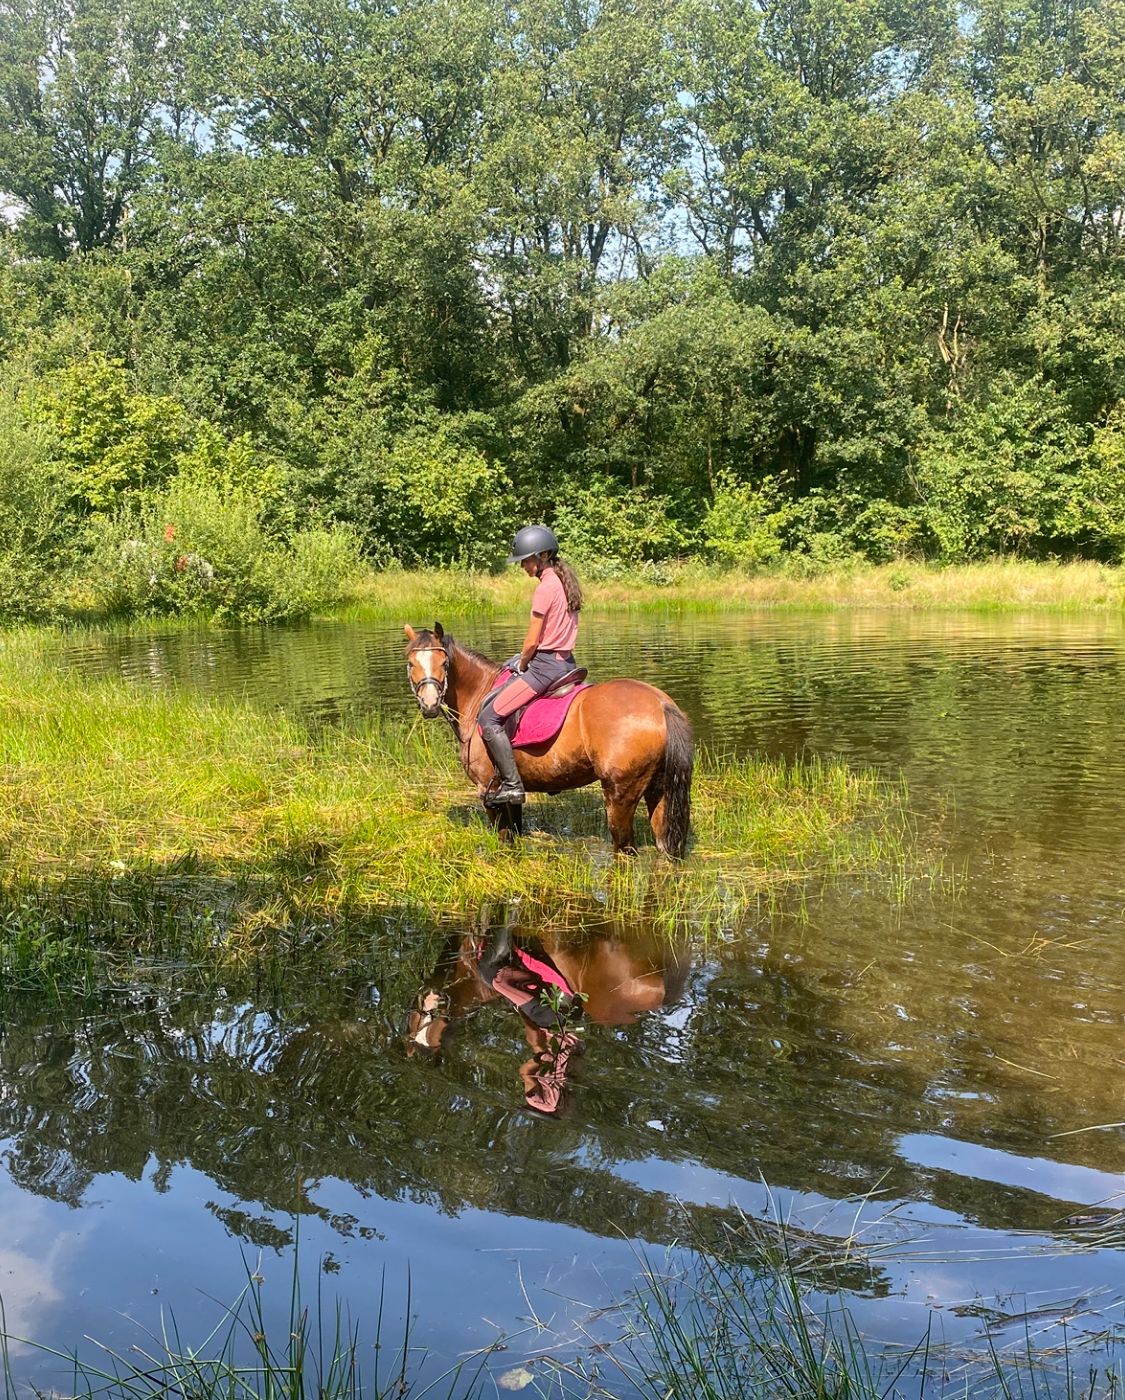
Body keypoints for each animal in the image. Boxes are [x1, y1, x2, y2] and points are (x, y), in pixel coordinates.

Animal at [404, 622, 693, 856]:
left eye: (443, 664)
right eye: (411, 664)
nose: (429, 704)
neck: (480, 694)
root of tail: (661, 704)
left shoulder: (488, 790)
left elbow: (504, 838)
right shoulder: (510, 797)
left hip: (620, 796)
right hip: (658, 791)